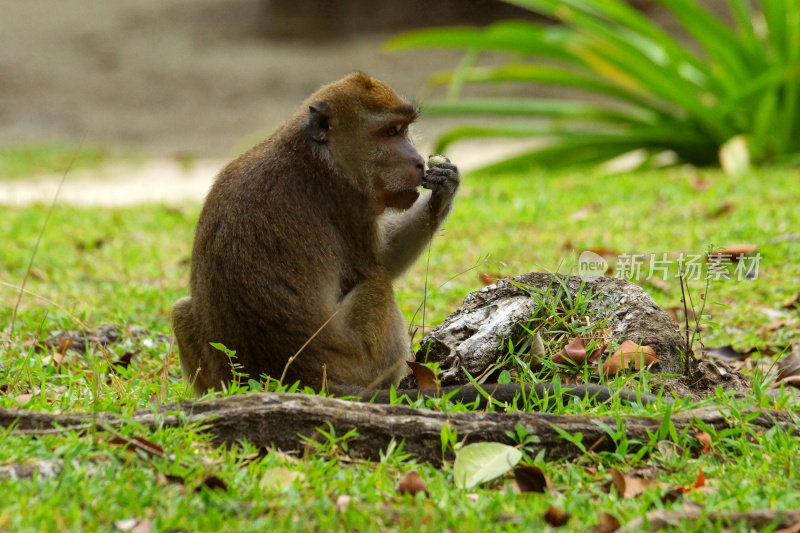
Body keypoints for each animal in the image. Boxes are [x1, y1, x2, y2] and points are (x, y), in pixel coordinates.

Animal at [173, 71, 462, 394]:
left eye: (404, 129)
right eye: (390, 132)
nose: (418, 161)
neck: (316, 153)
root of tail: (301, 379)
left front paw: (445, 187)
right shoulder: (350, 203)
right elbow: (383, 264)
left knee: (180, 309)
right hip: (358, 362)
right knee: (378, 283)